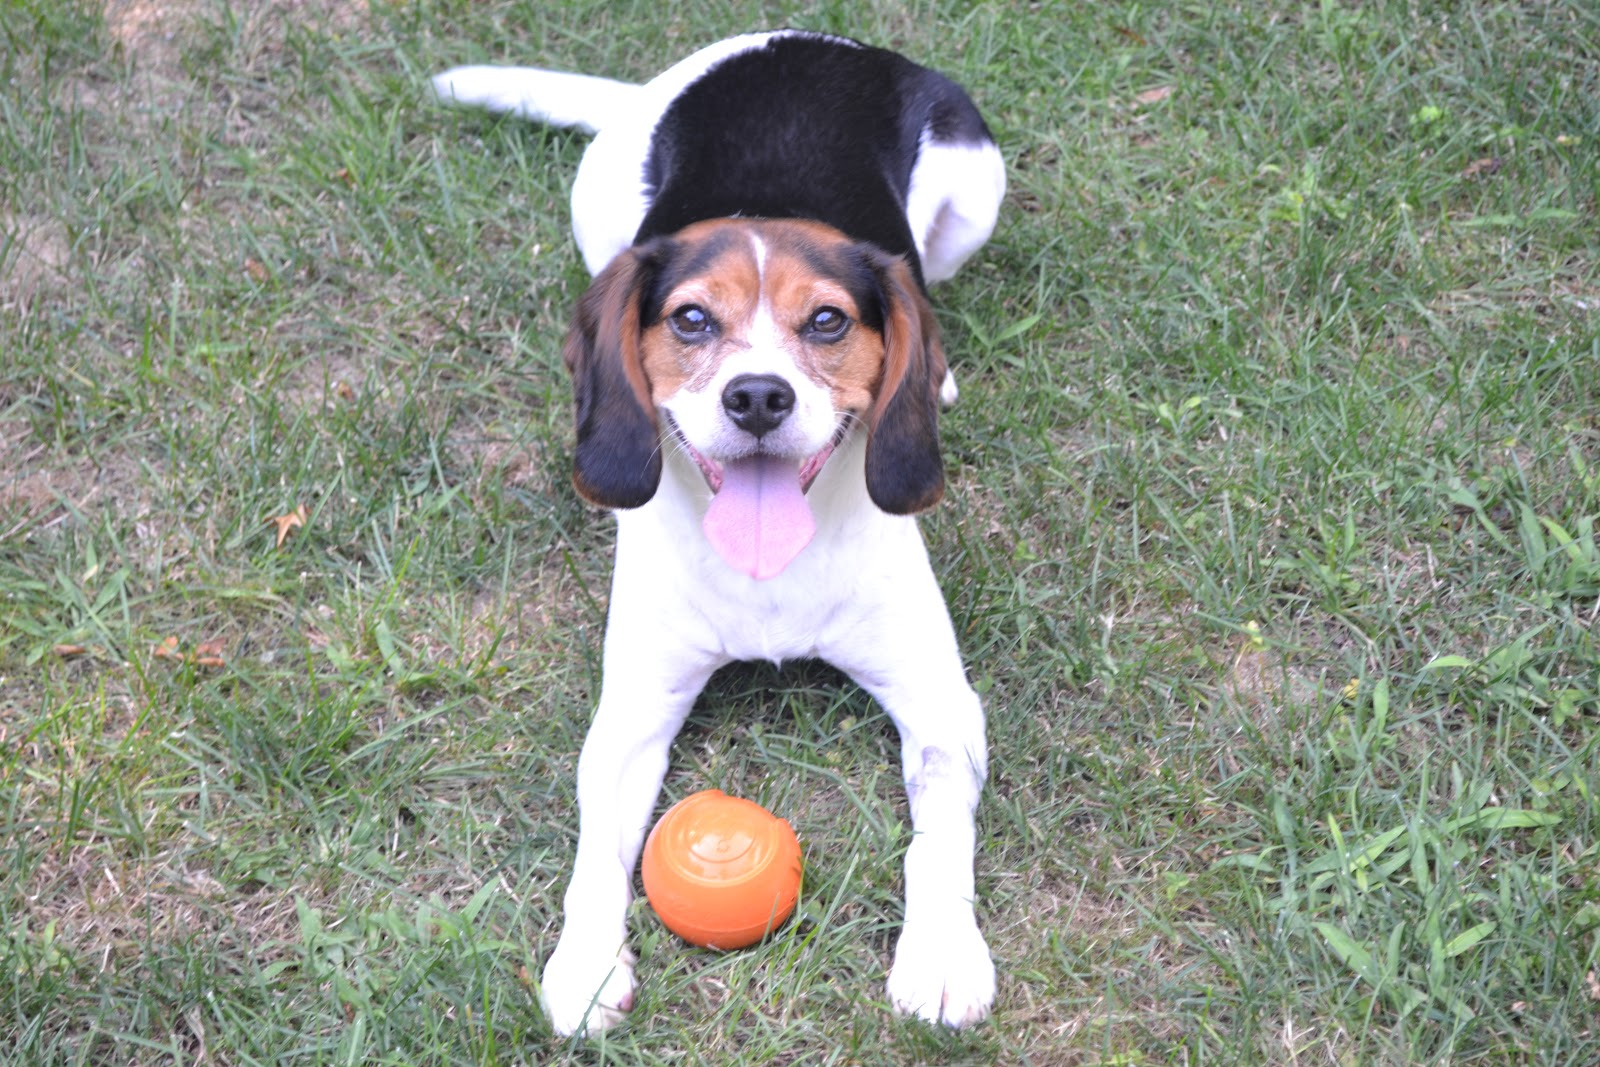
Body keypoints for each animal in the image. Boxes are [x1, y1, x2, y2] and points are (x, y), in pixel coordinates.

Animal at [432, 30, 1005, 1036]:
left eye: (828, 320)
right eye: (692, 319)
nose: (759, 396)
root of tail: (790, 39)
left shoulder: (940, 707)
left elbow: (936, 842)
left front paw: (940, 953)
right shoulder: (630, 716)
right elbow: (595, 856)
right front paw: (586, 964)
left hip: (978, 183)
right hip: (594, 209)